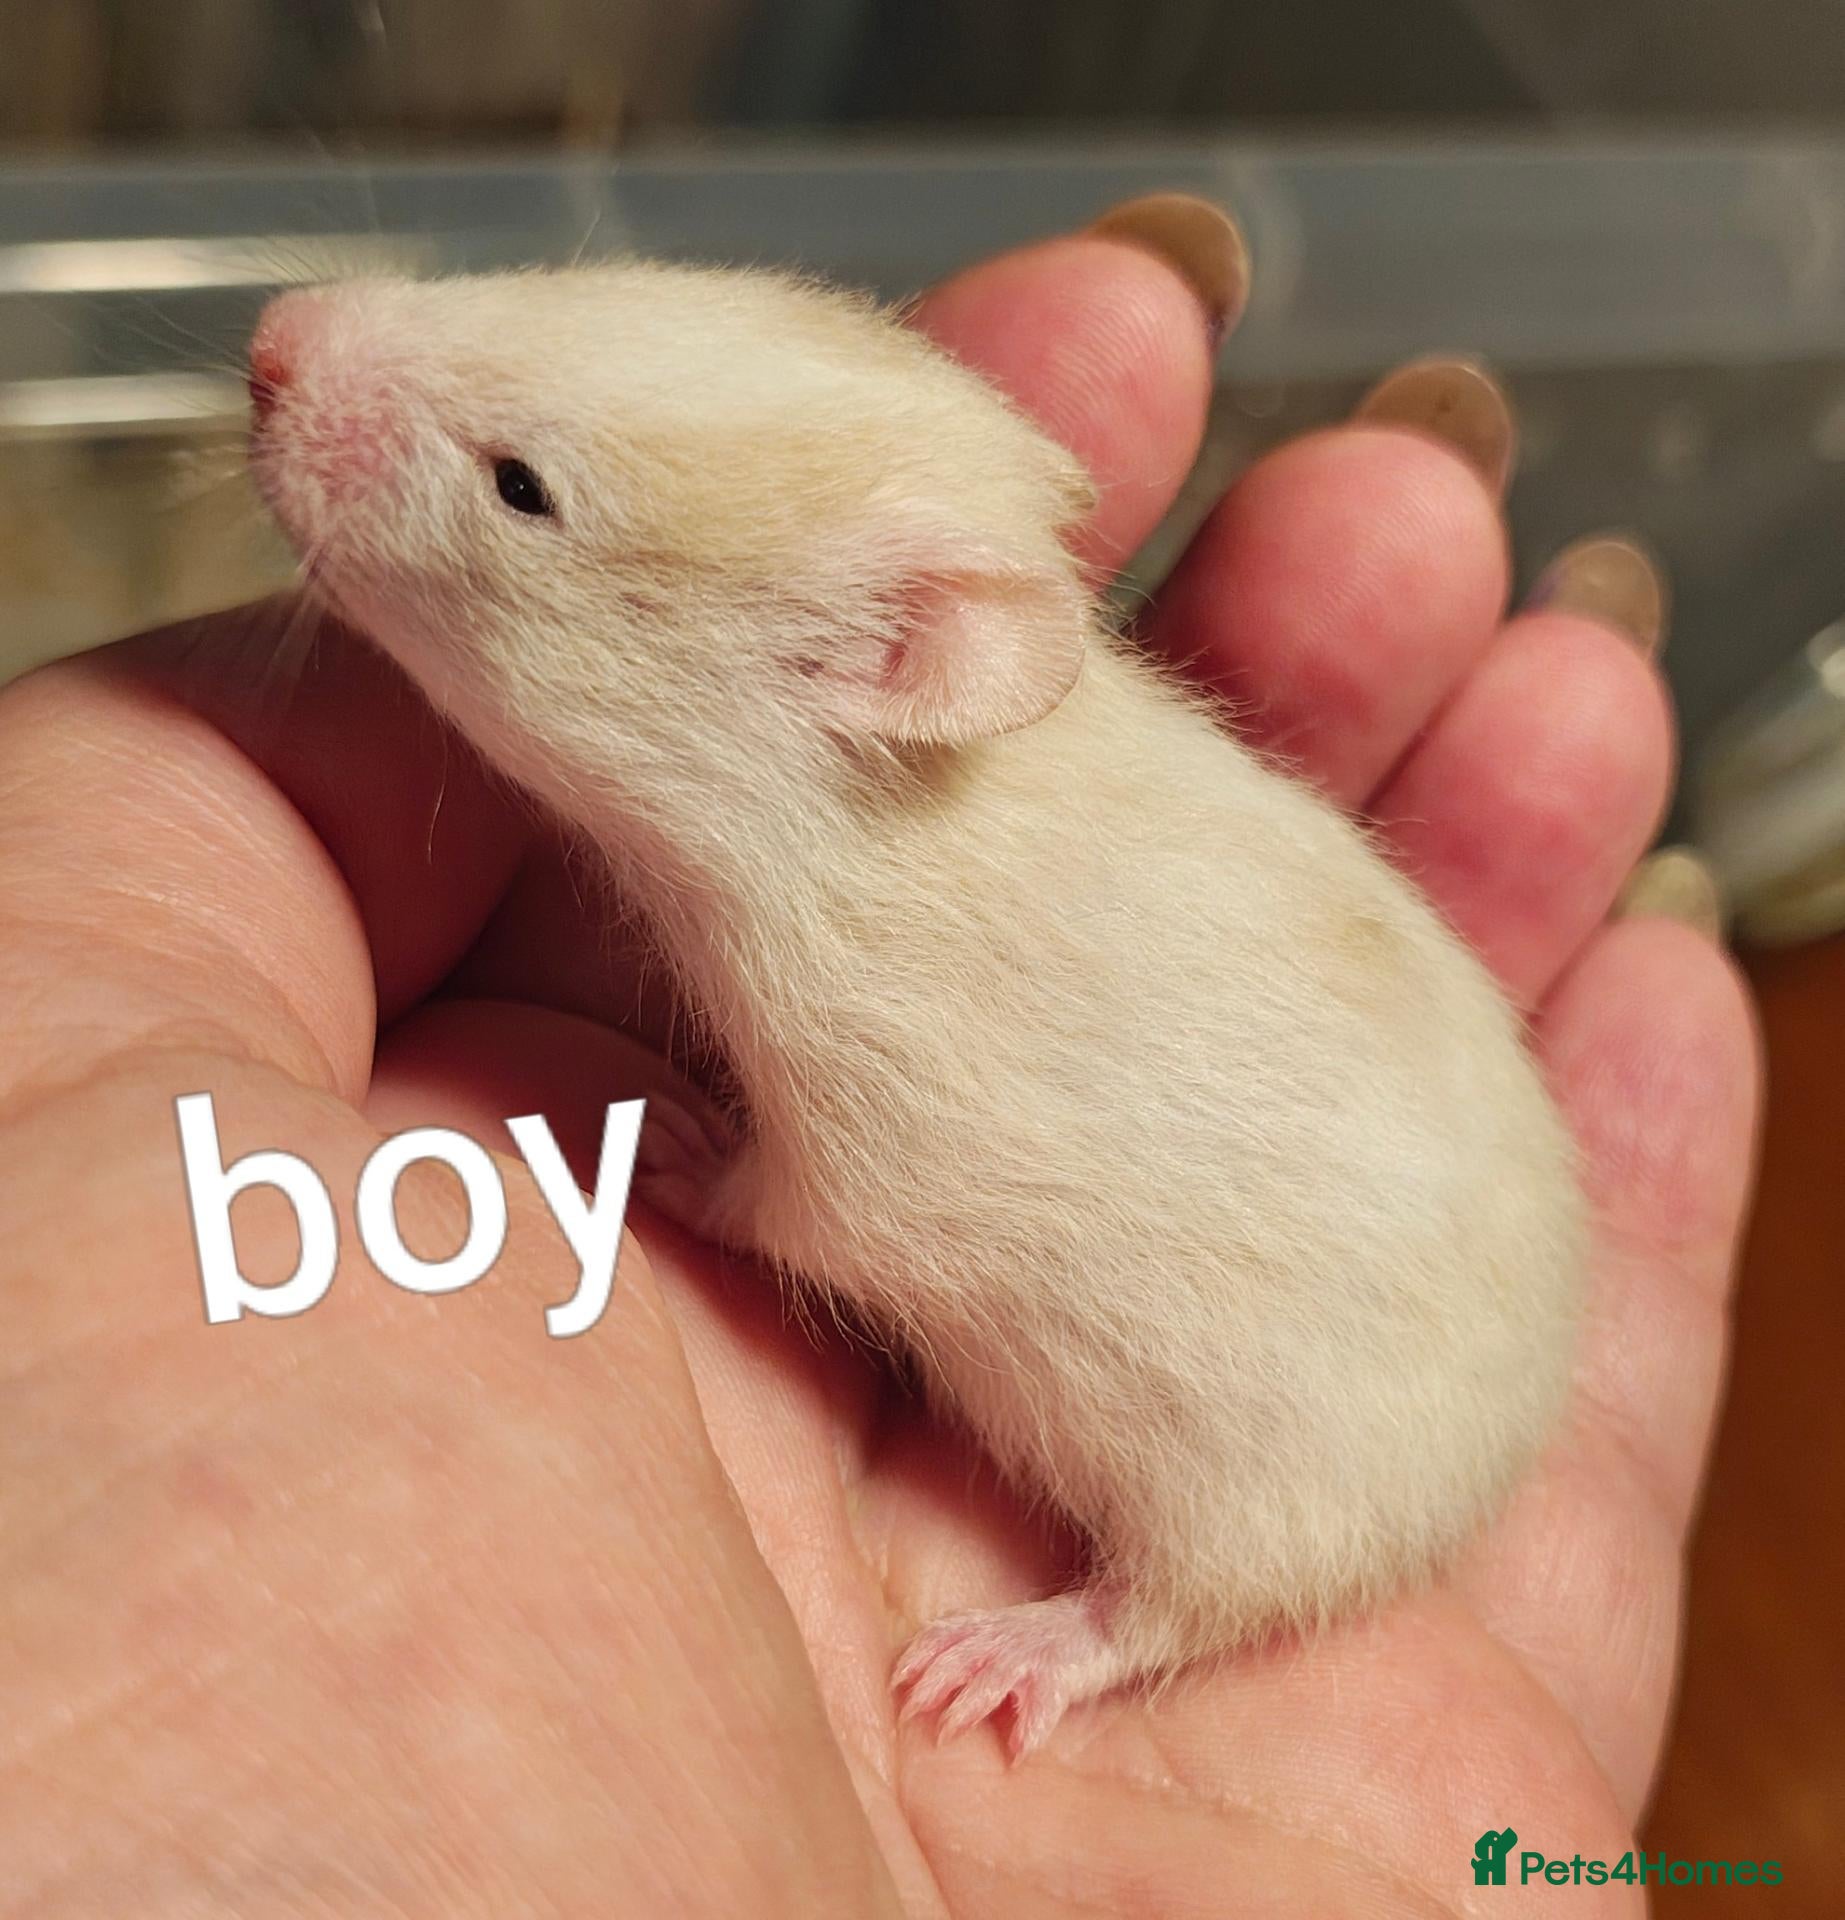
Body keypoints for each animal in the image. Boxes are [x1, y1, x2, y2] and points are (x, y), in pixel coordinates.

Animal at [247, 262, 1585, 1758]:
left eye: (522, 489)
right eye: (565, 284)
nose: (270, 339)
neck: (896, 794)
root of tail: (1527, 1426)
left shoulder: (878, 1125)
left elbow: (790, 1208)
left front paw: (676, 1154)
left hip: (1281, 1503)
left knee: (1175, 1612)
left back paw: (1020, 1650)